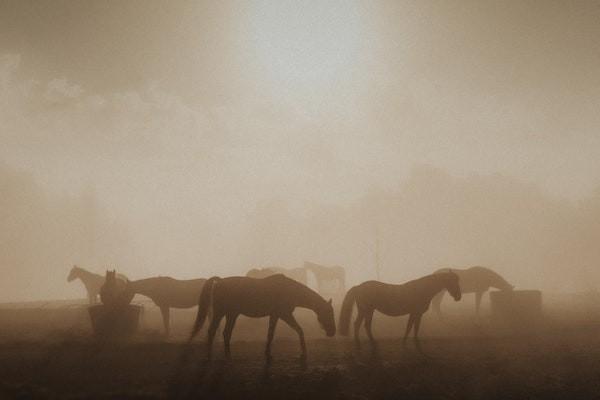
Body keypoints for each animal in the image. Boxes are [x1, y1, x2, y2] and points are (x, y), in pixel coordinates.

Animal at [190, 276, 336, 362]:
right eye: (329, 313)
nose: (332, 332)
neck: (290, 290)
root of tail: (219, 281)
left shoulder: (275, 315)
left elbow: (270, 334)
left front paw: (268, 353)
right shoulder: (284, 314)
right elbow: (299, 330)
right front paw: (303, 354)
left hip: (232, 314)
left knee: (226, 333)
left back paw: (228, 356)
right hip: (220, 313)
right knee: (212, 331)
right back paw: (209, 356)